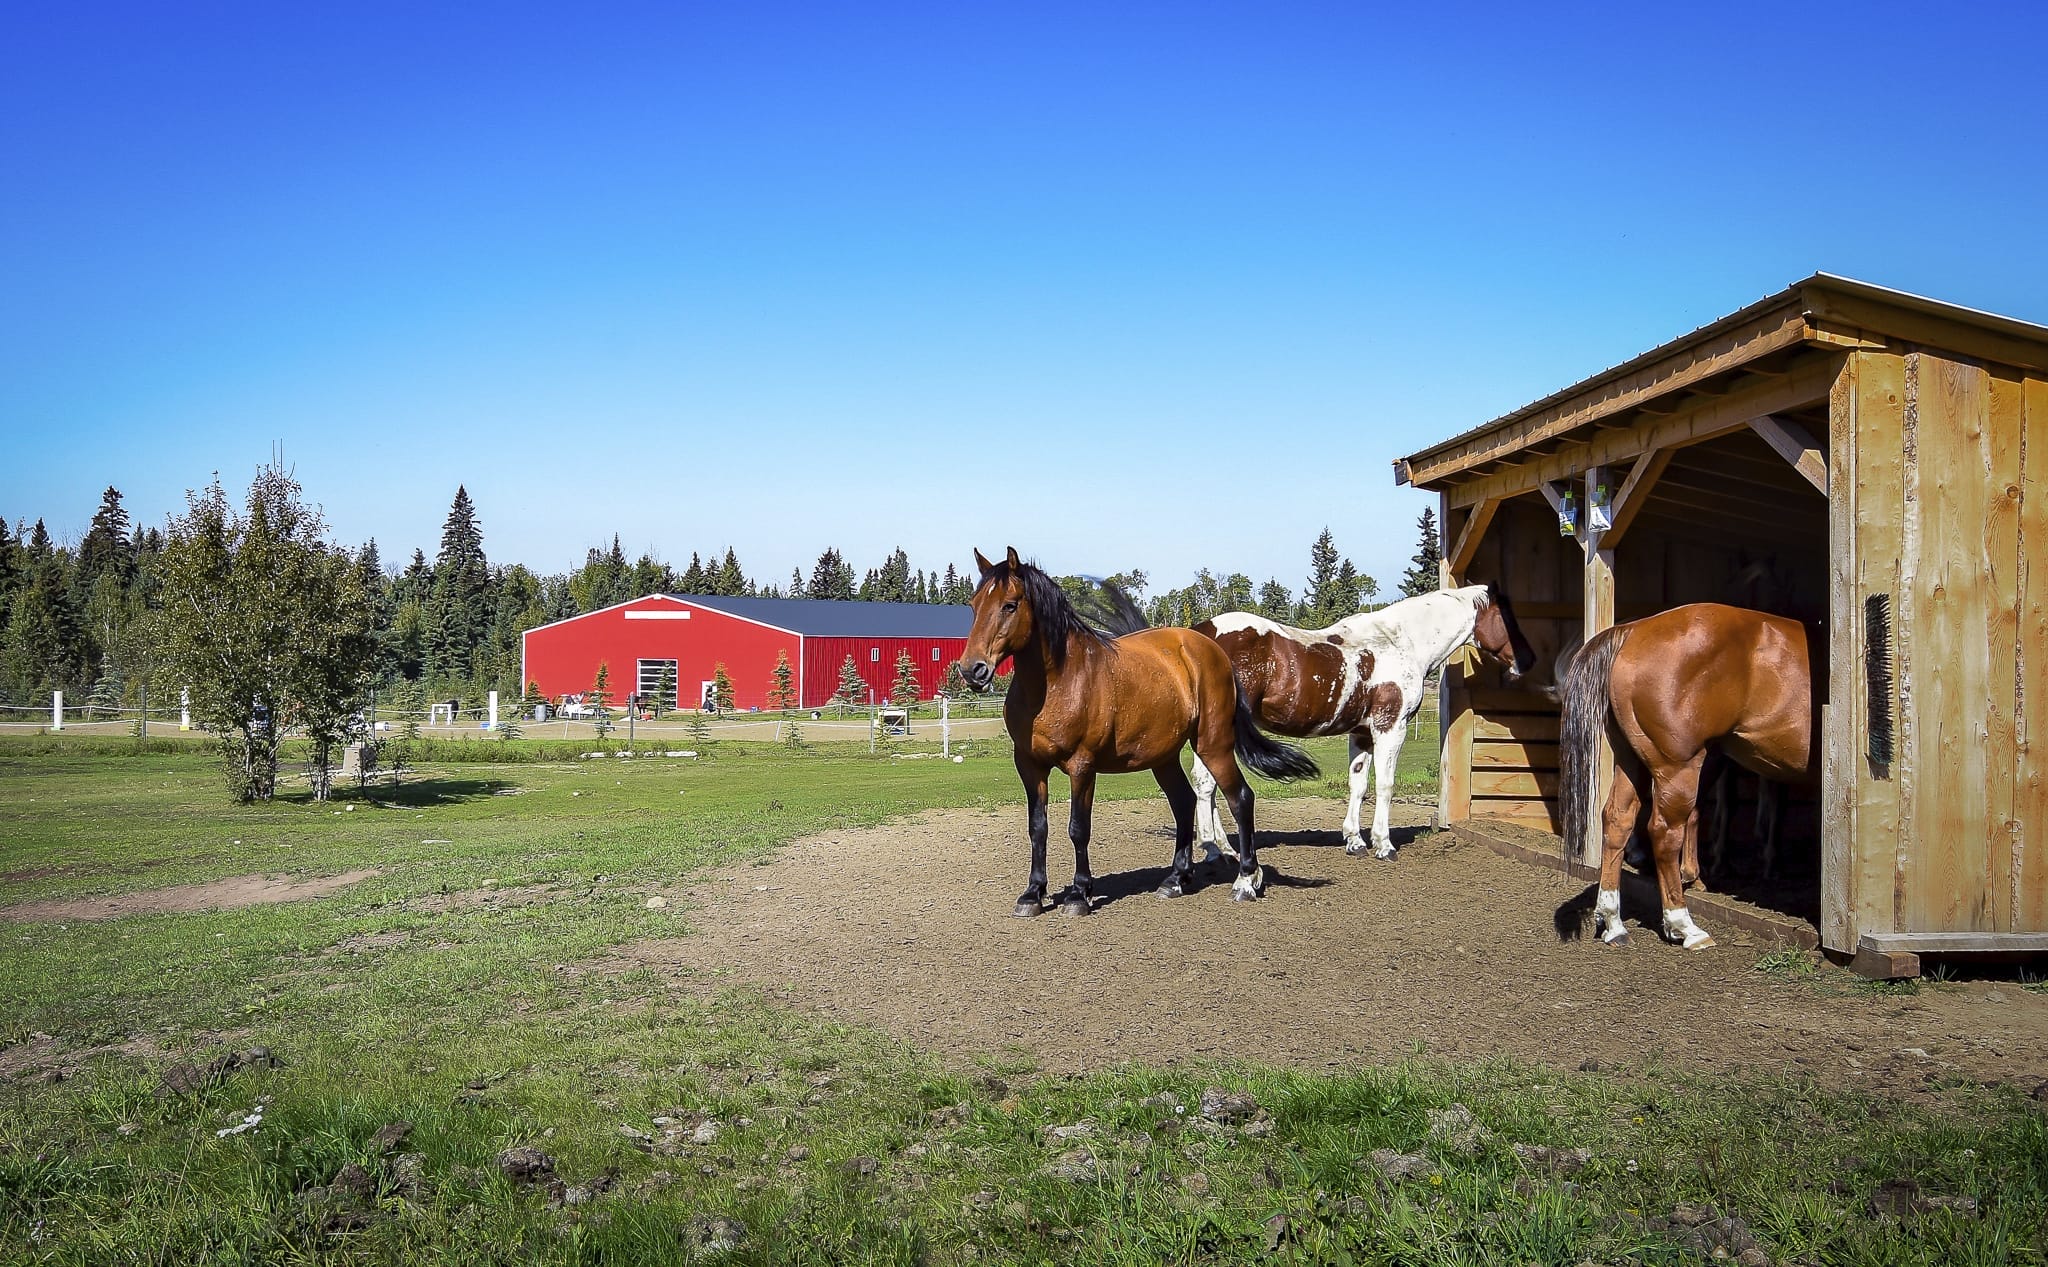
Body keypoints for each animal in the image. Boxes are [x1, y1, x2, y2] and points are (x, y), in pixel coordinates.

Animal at [957, 547, 1320, 916]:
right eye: (973, 605)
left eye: (1009, 605)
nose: (972, 669)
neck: (1059, 682)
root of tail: (1213, 651)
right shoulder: (1029, 766)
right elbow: (1037, 828)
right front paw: (1033, 894)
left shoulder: (1082, 767)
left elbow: (1078, 828)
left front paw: (1079, 894)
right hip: (1164, 757)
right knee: (1184, 802)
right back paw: (1176, 880)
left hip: (1213, 745)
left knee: (1241, 798)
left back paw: (1246, 881)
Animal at [1191, 584, 1534, 861]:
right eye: (1506, 617)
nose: (1528, 661)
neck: (1401, 642)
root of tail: (1201, 636)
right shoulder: (1390, 727)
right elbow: (1385, 785)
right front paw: (1384, 844)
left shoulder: (1361, 734)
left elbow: (1358, 785)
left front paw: (1355, 841)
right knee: (1208, 783)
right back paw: (1216, 850)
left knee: (1206, 783)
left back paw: (1221, 849)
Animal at [1557, 602, 1816, 949]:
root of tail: (1633, 630)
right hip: (1678, 767)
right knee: (1665, 833)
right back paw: (1684, 925)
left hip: (1631, 761)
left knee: (1618, 820)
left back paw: (1614, 924)